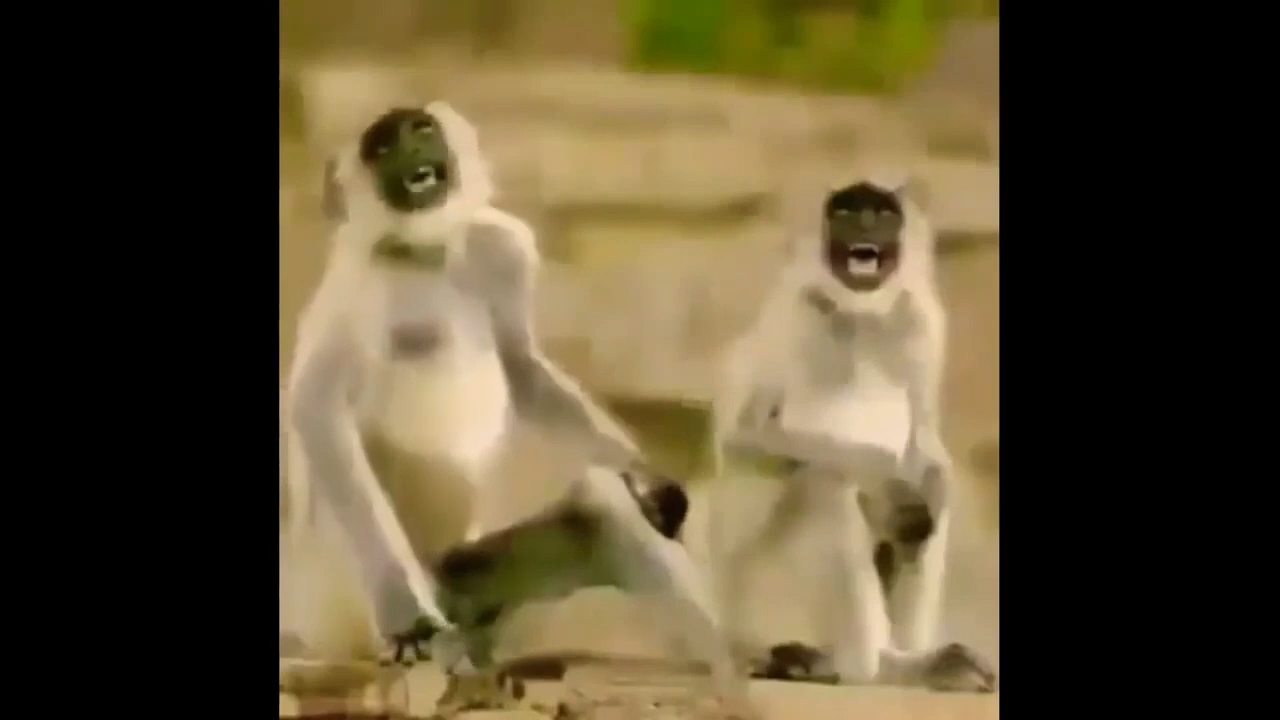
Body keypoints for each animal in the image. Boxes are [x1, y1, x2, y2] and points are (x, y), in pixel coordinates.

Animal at [280, 102, 646, 694]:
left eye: (420, 130)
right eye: (382, 147)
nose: (410, 149)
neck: (426, 254)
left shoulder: (503, 247)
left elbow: (523, 367)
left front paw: (648, 480)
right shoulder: (358, 281)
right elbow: (316, 411)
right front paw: (409, 622)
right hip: (332, 602)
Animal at [696, 179, 996, 692]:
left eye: (883, 213)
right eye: (846, 211)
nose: (864, 226)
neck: (863, 316)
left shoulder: (921, 323)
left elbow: (927, 447)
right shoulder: (796, 312)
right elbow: (748, 436)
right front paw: (889, 483)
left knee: (928, 500)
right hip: (750, 585)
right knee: (825, 481)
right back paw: (867, 669)